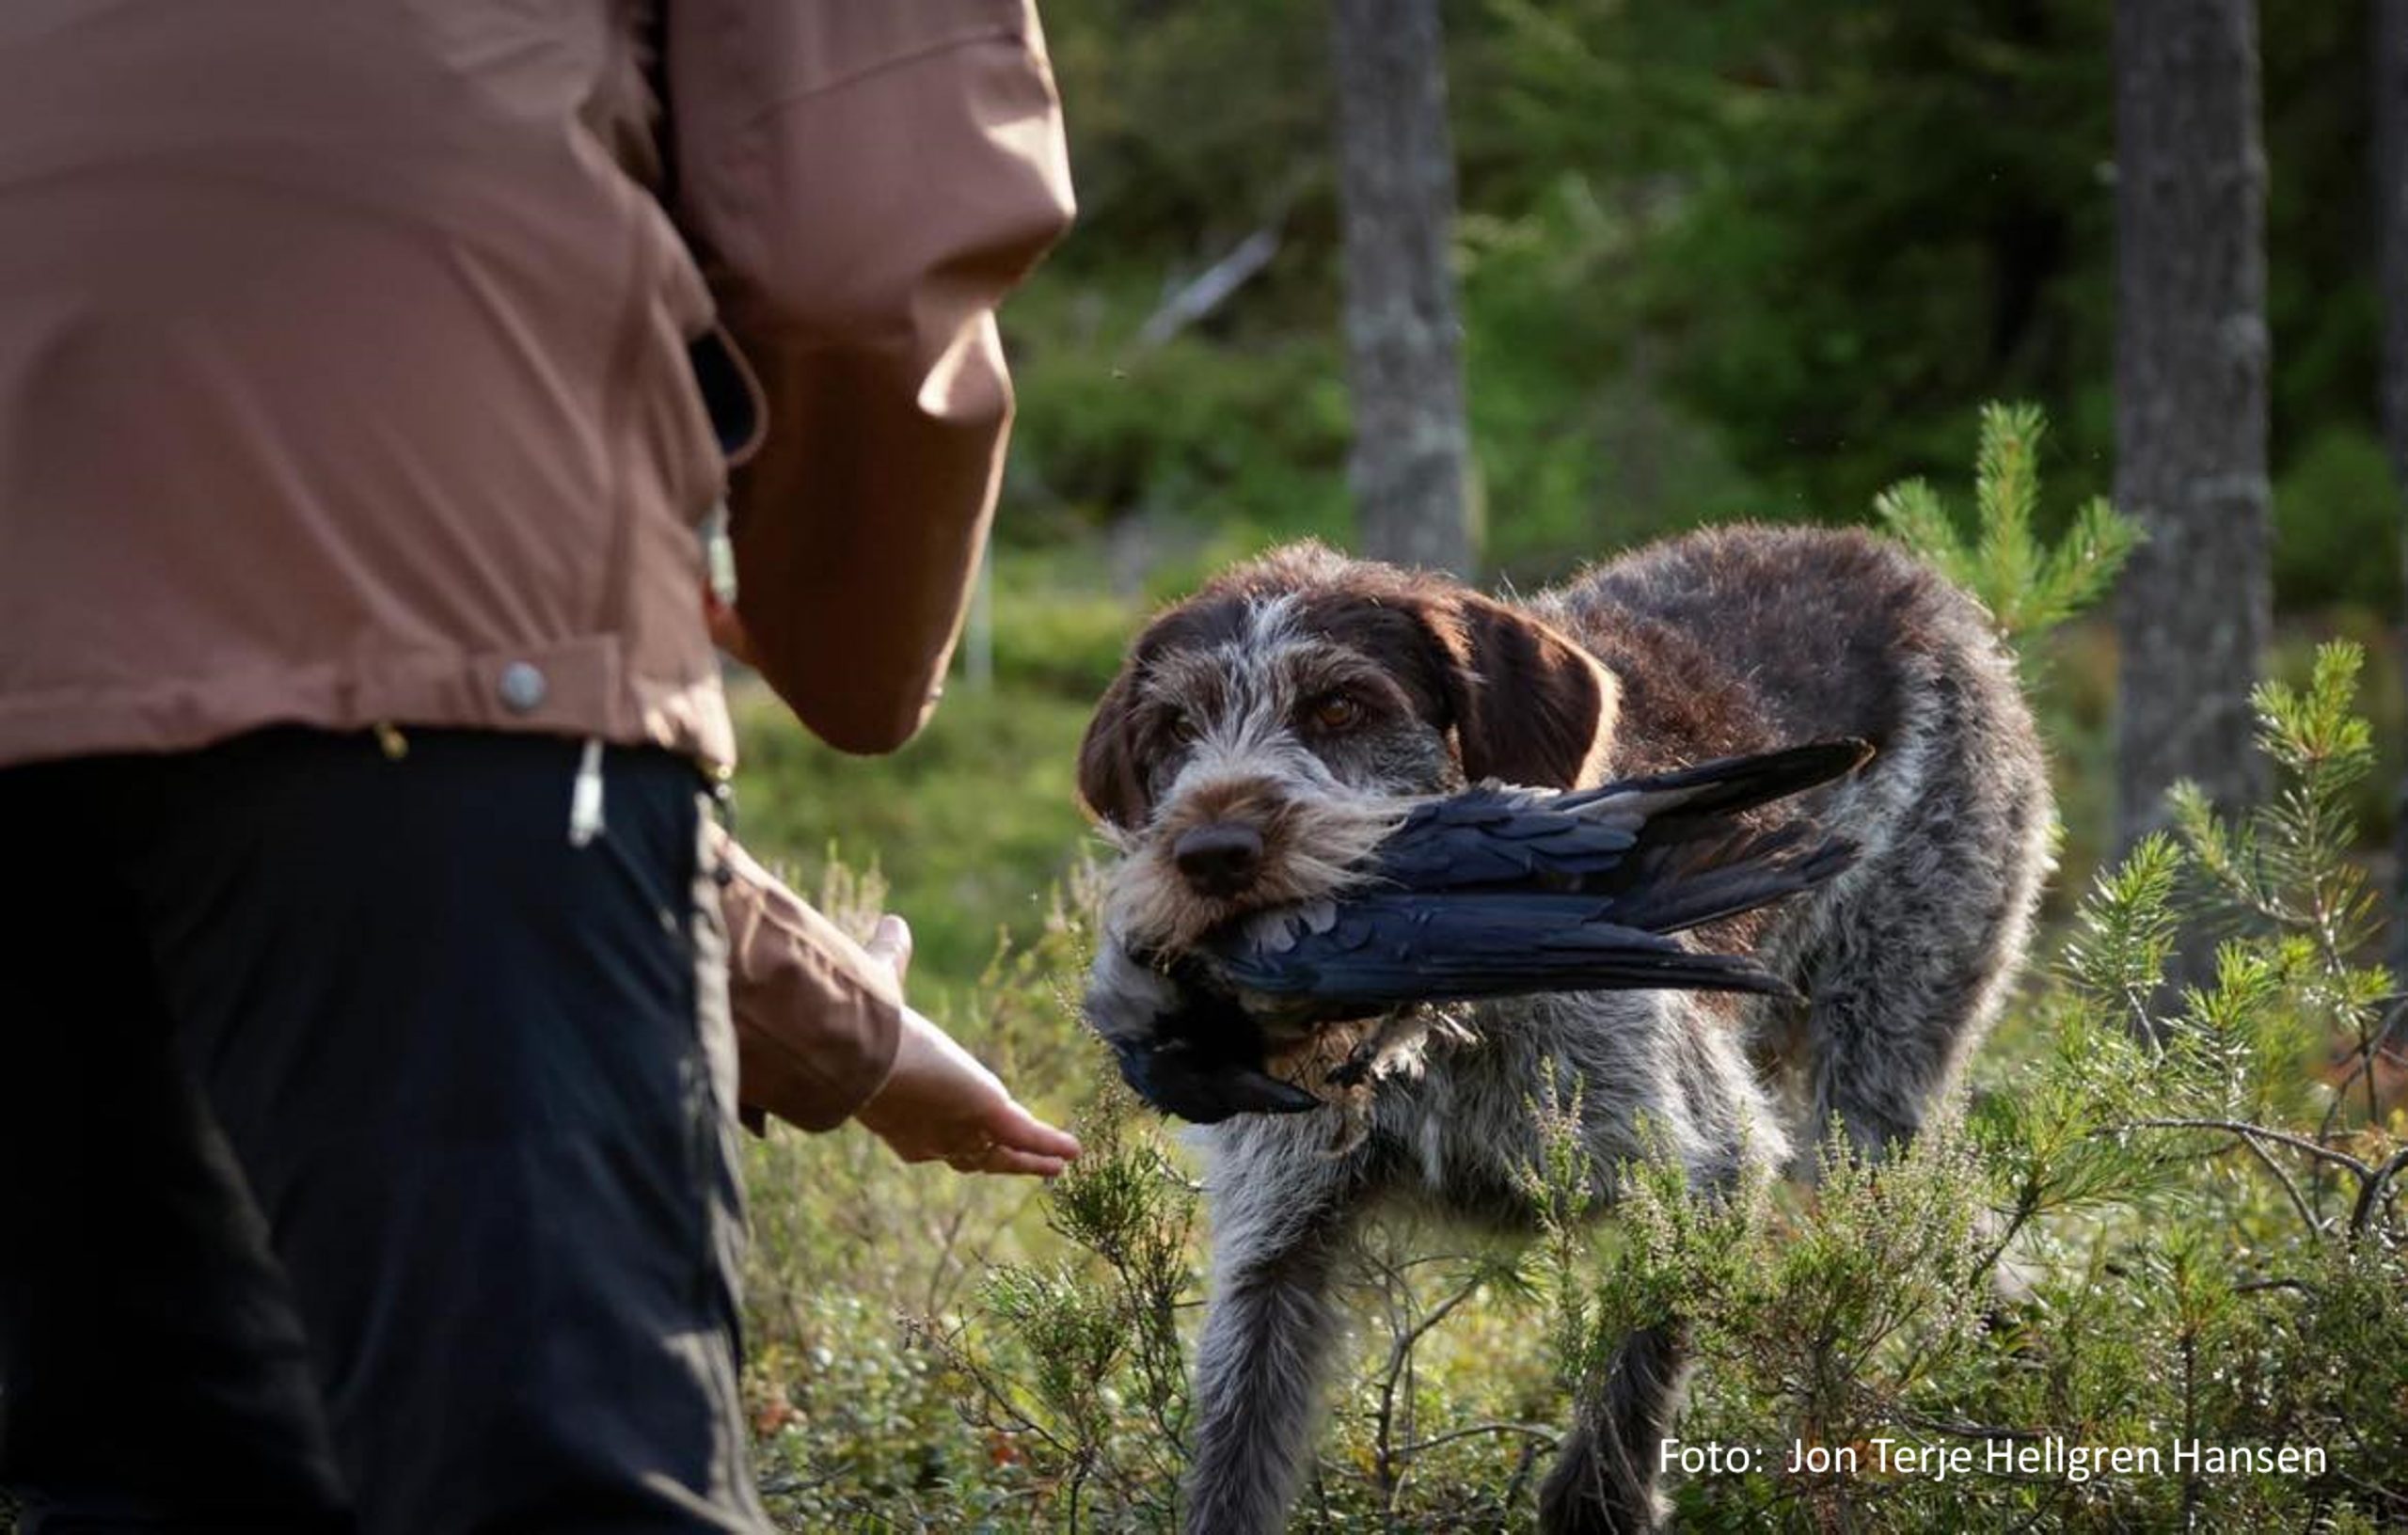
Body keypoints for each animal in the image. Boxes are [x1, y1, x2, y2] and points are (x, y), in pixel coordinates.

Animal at [1078, 524, 2052, 1529]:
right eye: (1175, 728)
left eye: (1341, 706)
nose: (1211, 854)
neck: (1444, 1042)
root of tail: (1897, 567)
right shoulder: (1279, 1241)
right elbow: (1237, 1455)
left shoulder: (1709, 1166)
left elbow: (1627, 1394)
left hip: (1872, 1101)